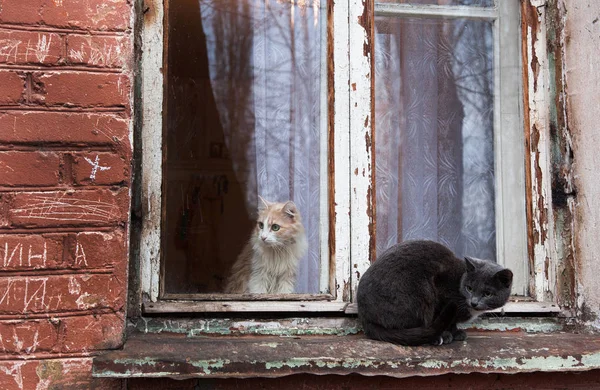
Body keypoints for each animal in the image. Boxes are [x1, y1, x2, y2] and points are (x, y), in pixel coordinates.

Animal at [356, 239, 510, 346]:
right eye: (469, 288)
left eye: (487, 293)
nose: (474, 302)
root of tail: (366, 318)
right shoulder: (440, 287)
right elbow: (444, 318)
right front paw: (448, 334)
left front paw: (456, 333)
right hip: (421, 293)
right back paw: (435, 338)